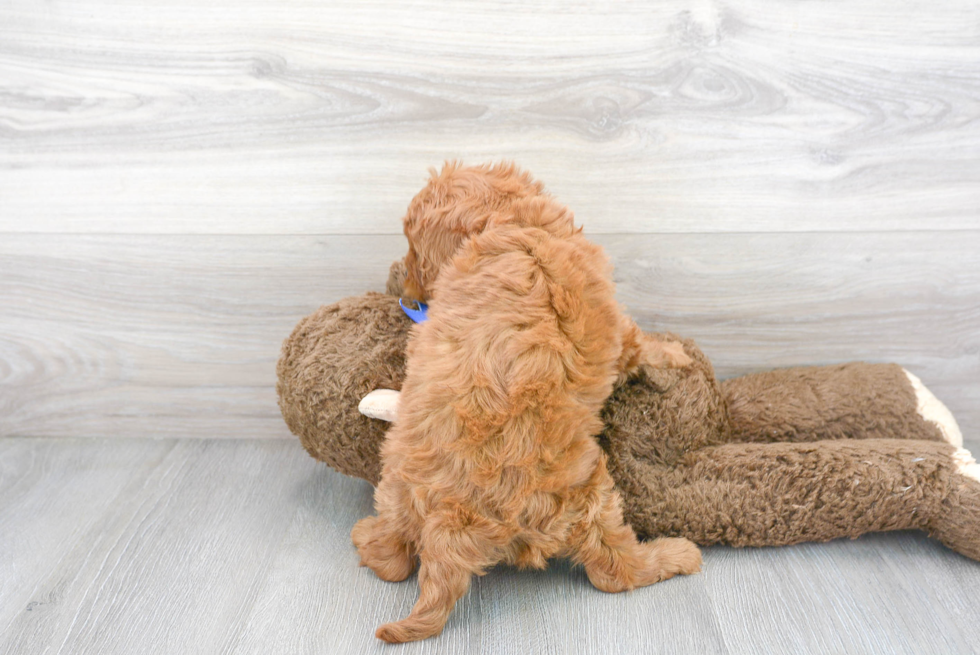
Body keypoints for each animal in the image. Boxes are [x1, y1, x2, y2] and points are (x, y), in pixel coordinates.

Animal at [352, 161, 696, 644]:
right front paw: (676, 355)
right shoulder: (613, 324)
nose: (404, 285)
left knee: (393, 559)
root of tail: (454, 525)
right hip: (593, 497)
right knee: (615, 572)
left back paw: (367, 539)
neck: (506, 222)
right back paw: (678, 555)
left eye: (413, 248)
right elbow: (638, 344)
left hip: (397, 485)